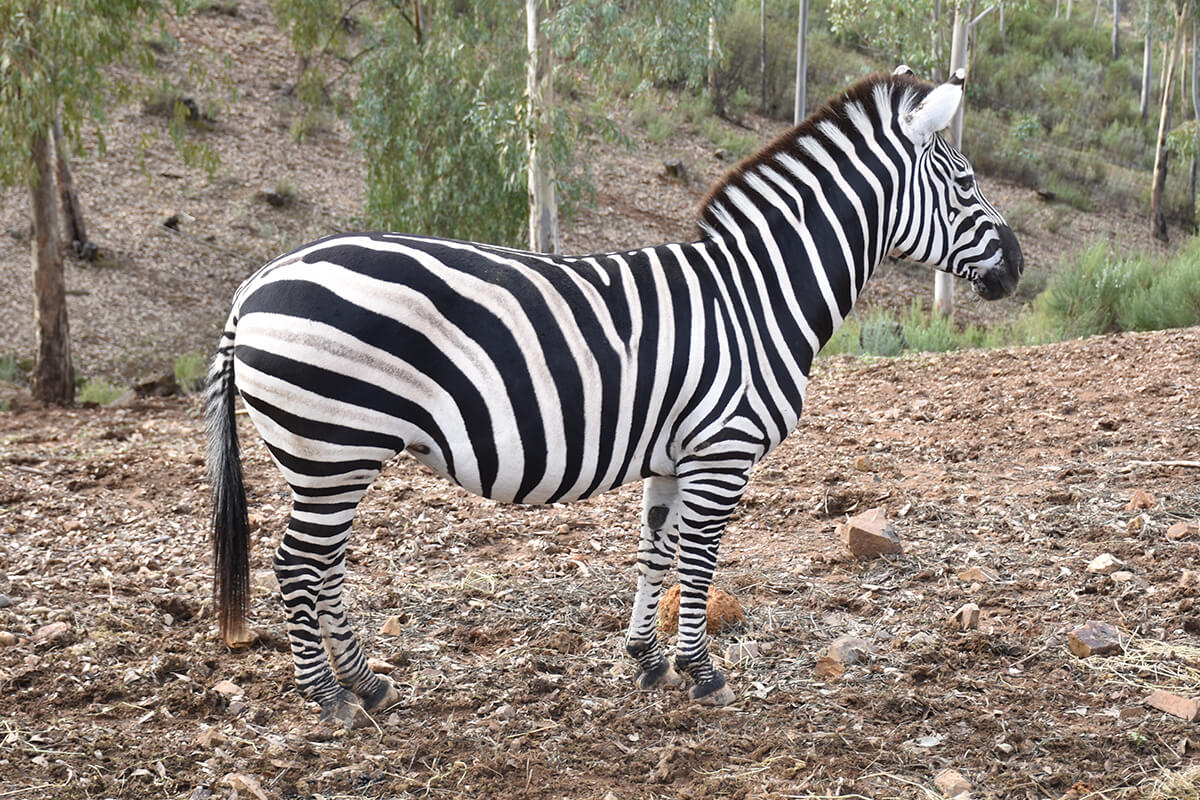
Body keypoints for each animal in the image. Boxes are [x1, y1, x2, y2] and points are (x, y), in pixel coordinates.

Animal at [206, 68, 1022, 729]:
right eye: (963, 185)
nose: (1018, 267)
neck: (756, 298)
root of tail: (253, 286)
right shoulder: (723, 450)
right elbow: (697, 562)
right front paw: (702, 674)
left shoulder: (674, 454)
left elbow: (654, 554)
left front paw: (648, 660)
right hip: (332, 448)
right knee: (296, 564)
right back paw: (330, 698)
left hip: (334, 457)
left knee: (325, 565)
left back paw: (368, 684)